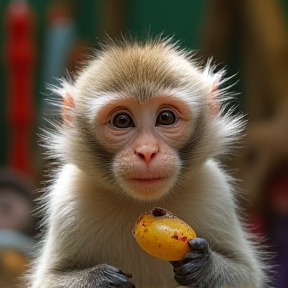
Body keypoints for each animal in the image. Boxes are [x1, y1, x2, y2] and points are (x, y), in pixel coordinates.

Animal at [27, 36, 270, 288]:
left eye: (166, 117)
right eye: (122, 120)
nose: (146, 152)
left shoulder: (215, 192)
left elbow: (246, 273)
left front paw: (203, 265)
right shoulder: (67, 199)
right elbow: (50, 278)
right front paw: (103, 280)